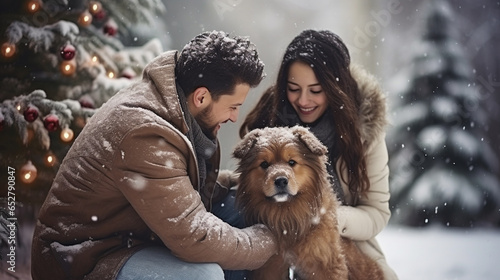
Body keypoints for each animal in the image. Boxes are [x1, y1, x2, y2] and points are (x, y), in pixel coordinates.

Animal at [233, 126, 382, 278]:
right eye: (264, 164)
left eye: (292, 162)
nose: (281, 180)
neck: (288, 216)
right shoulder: (270, 265)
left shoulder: (327, 262)